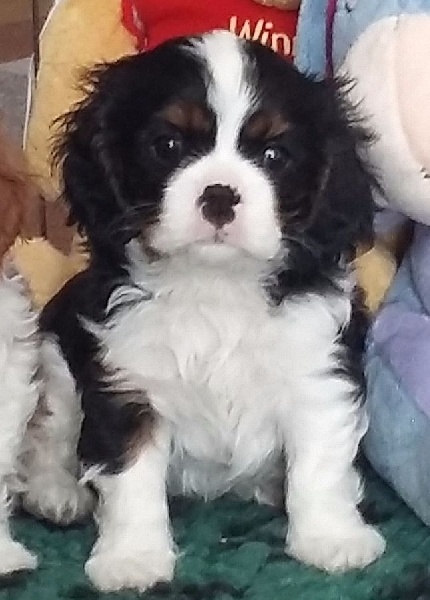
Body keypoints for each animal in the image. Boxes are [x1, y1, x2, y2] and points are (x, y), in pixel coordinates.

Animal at [39, 30, 385, 592]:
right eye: (168, 147)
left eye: (274, 154)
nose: (220, 195)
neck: (216, 285)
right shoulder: (126, 386)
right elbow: (131, 479)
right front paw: (133, 558)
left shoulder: (317, 373)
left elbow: (319, 467)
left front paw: (331, 537)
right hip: (56, 361)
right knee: (51, 433)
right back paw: (57, 492)